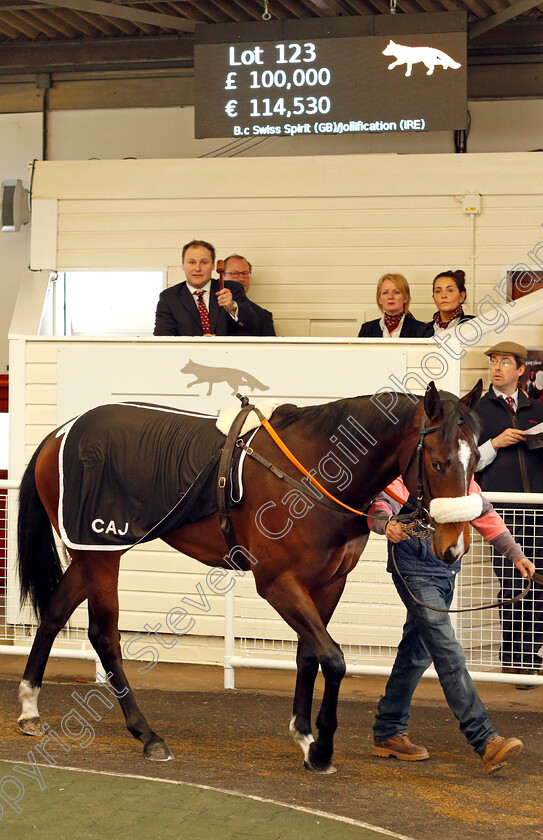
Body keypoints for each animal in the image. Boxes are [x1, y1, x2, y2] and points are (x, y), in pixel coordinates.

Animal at [17, 380, 482, 776]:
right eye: (438, 462)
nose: (454, 548)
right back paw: (147, 735)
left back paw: (29, 708)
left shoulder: (329, 582)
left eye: (476, 459)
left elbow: (310, 654)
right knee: (105, 635)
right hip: (98, 551)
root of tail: (58, 434)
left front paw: (304, 735)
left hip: (94, 549)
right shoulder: (277, 582)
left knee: (55, 614)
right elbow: (333, 657)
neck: (315, 472)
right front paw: (322, 748)